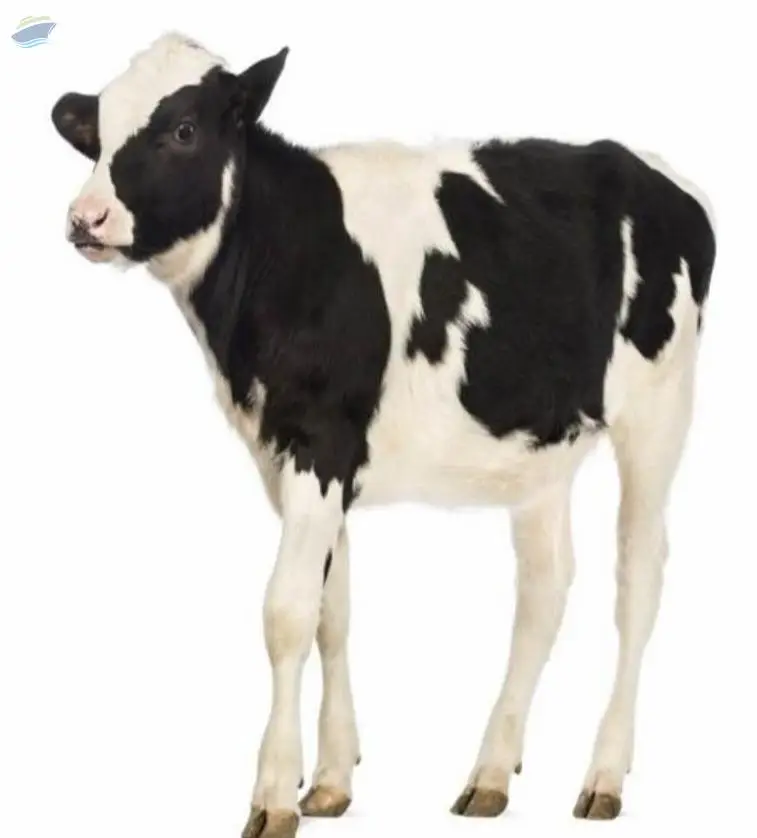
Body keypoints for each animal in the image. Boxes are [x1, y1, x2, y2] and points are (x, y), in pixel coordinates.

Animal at [50, 31, 716, 837]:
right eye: (97, 132)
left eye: (183, 129)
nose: (86, 217)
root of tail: (645, 166)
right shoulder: (295, 455)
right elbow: (331, 613)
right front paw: (331, 780)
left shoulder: (320, 439)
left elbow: (285, 613)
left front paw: (273, 794)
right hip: (541, 446)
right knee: (544, 588)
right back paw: (491, 772)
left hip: (658, 408)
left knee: (638, 578)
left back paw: (604, 776)